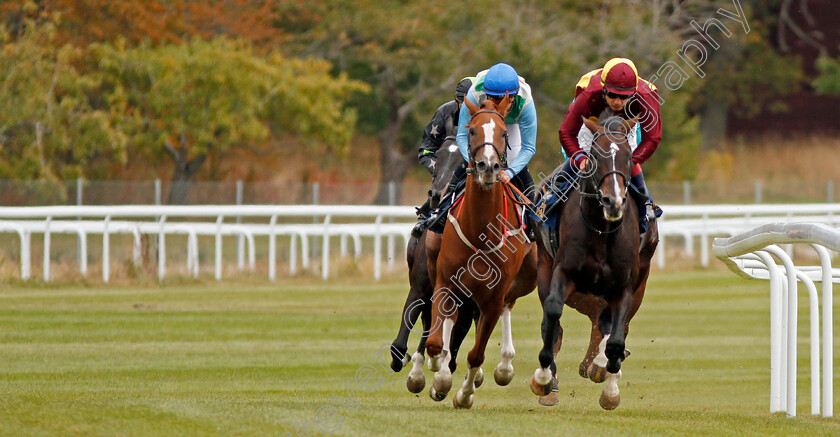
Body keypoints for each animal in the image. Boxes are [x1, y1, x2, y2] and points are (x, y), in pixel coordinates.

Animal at [426, 95, 540, 408]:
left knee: (507, 307)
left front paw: (464, 395)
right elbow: (435, 343)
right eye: (473, 130)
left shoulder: (493, 297)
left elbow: (476, 354)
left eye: (502, 134)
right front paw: (439, 376)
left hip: (525, 279)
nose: (488, 167)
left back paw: (505, 365)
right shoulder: (446, 283)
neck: (481, 230)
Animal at [528, 115, 660, 408]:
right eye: (596, 156)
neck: (602, 230)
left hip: (640, 281)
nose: (613, 201)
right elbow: (552, 316)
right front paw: (543, 378)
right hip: (544, 265)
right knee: (553, 324)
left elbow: (616, 339)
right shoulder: (563, 272)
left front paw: (609, 387)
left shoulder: (625, 286)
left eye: (628, 157)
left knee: (612, 326)